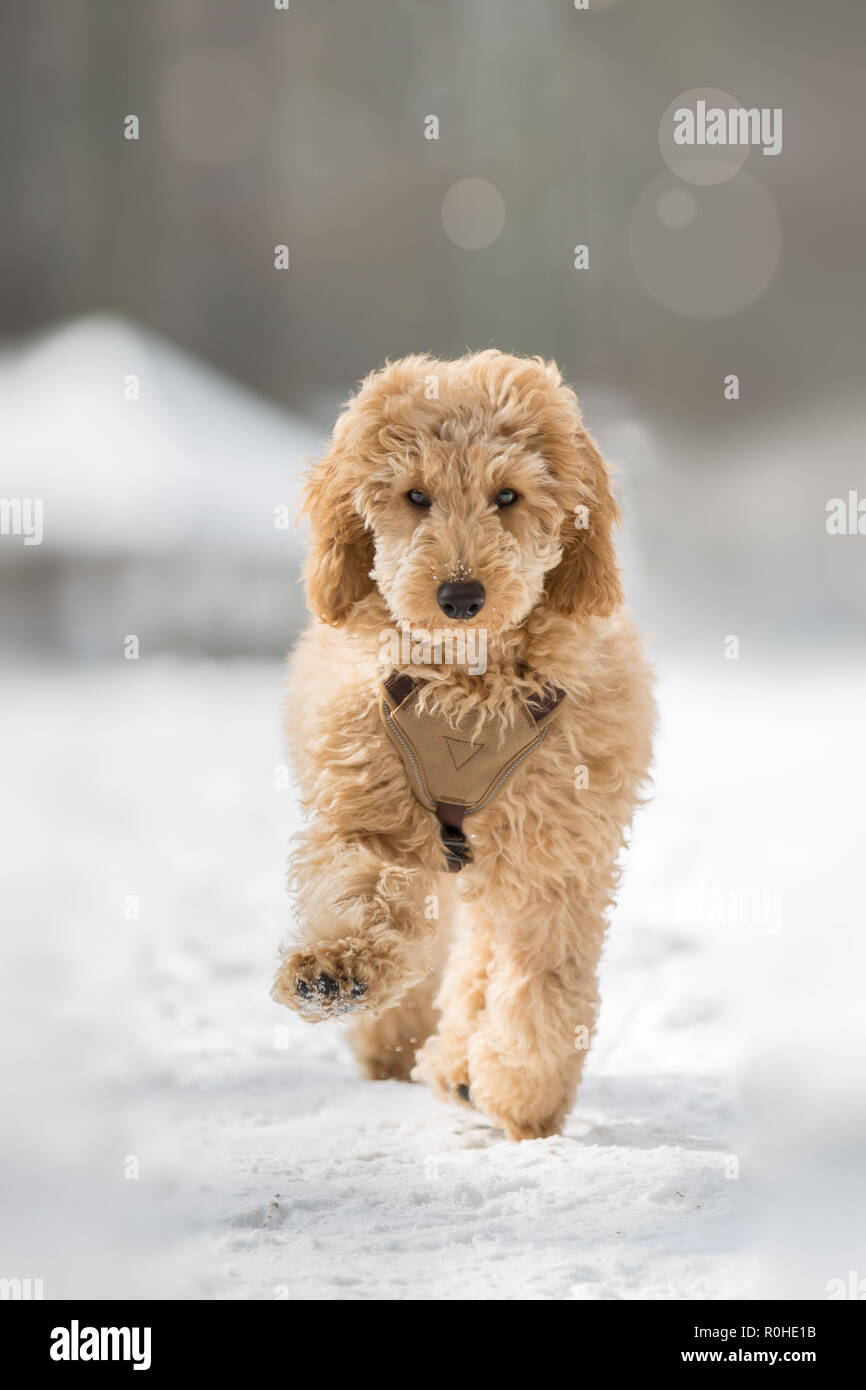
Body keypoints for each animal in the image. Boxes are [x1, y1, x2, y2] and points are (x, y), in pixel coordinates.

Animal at [269, 347, 650, 1139]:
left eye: (508, 496)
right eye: (415, 495)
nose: (460, 597)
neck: (470, 685)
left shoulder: (554, 853)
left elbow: (541, 978)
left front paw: (521, 1089)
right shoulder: (372, 807)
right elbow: (364, 890)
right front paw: (335, 970)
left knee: (481, 956)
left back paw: (464, 1069)